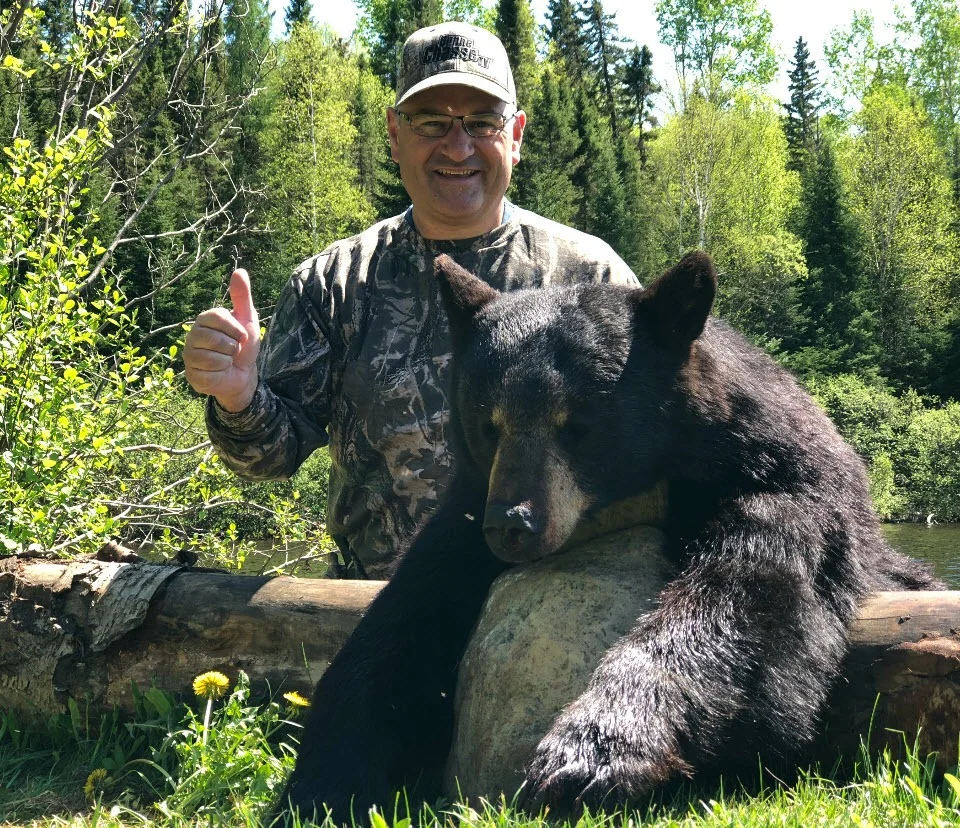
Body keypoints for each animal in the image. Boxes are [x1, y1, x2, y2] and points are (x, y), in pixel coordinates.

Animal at [274, 251, 943, 823]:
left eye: (577, 425)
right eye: (489, 424)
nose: (513, 524)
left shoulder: (786, 485)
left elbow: (749, 591)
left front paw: (595, 750)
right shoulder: (464, 518)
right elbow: (403, 616)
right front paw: (324, 778)